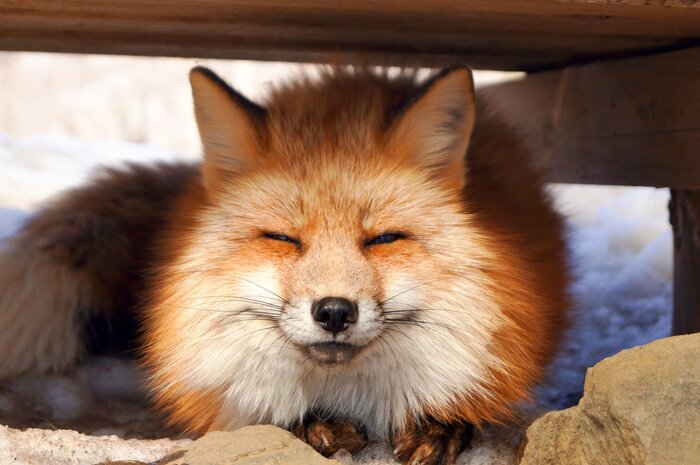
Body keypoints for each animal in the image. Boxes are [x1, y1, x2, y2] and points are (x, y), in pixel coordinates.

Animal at [0, 65, 568, 464]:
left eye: (384, 239)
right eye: (283, 239)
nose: (335, 311)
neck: (349, 396)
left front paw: (441, 421)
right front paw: (304, 424)